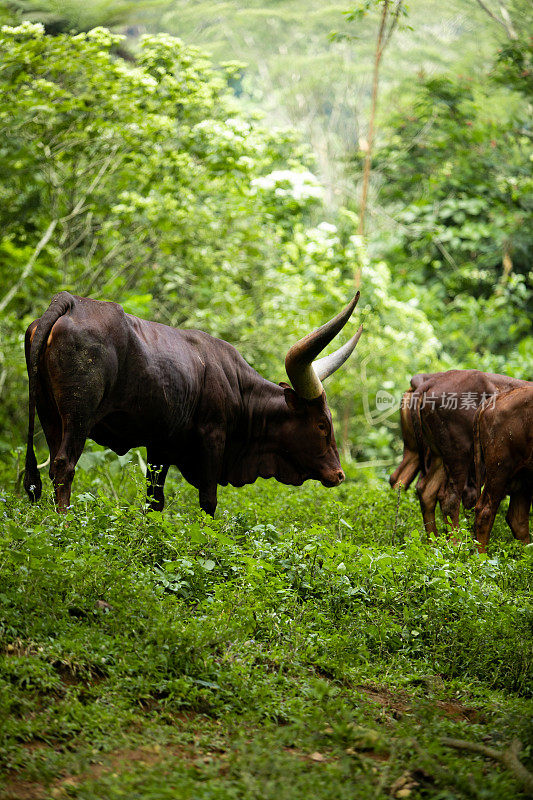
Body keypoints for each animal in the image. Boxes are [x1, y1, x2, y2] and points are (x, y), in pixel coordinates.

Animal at [23, 292, 362, 512]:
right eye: (322, 424)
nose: (339, 474)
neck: (240, 390)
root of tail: (70, 302)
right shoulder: (212, 438)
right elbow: (208, 500)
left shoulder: (160, 447)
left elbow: (154, 500)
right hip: (79, 416)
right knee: (64, 466)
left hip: (49, 415)